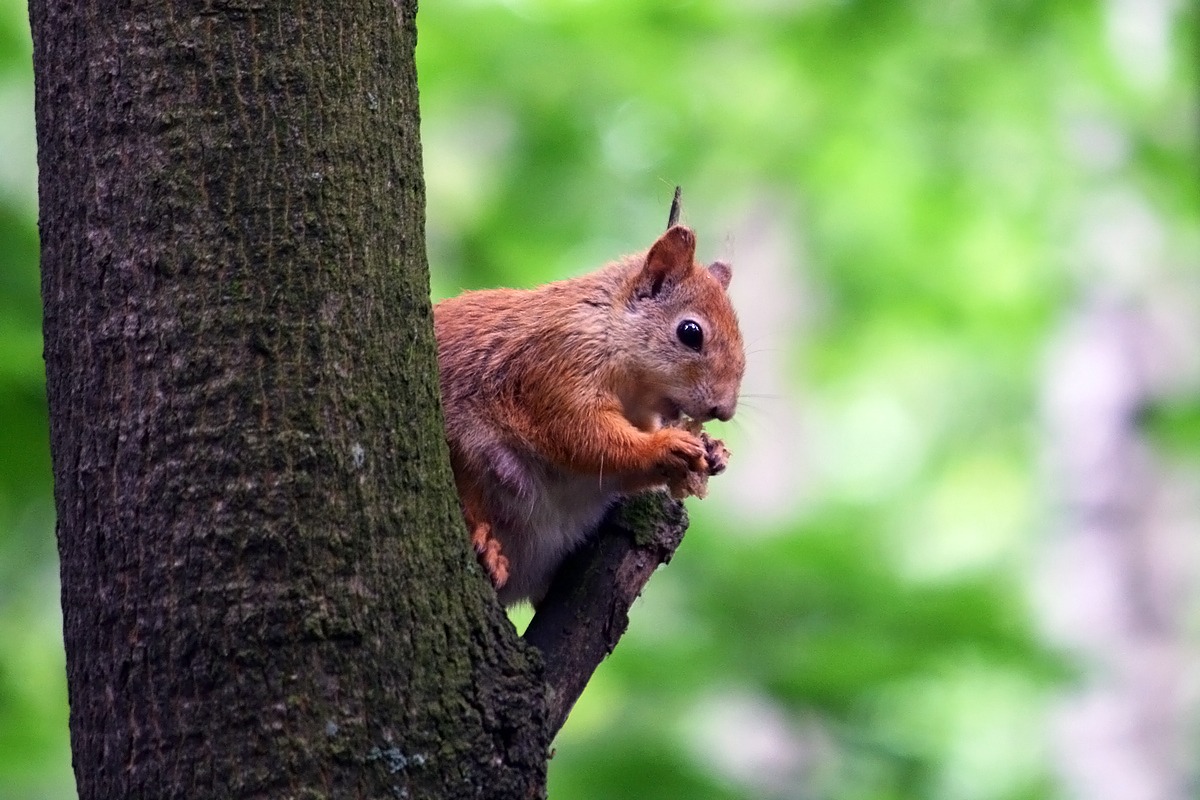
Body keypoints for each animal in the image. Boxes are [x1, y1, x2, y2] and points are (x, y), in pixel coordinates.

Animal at [436, 221, 744, 604]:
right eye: (690, 332)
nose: (724, 410)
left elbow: (616, 472)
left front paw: (714, 450)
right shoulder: (555, 365)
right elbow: (581, 434)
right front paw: (665, 445)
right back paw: (486, 543)